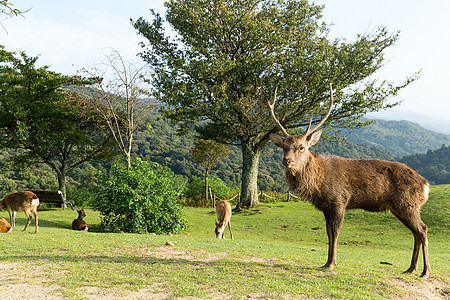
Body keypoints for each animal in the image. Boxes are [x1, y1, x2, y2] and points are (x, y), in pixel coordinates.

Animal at [268, 83, 430, 278]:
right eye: (283, 147)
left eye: (301, 147)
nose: (287, 161)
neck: (319, 184)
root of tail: (426, 185)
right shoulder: (326, 207)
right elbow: (328, 233)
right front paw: (326, 262)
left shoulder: (340, 200)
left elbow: (336, 232)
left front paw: (331, 264)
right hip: (400, 207)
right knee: (415, 232)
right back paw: (410, 268)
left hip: (408, 204)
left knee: (423, 229)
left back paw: (425, 272)